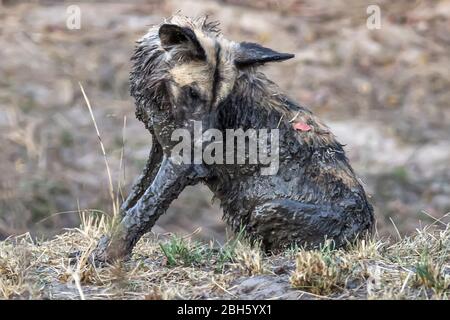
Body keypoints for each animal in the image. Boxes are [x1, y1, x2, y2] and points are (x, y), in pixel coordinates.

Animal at [93, 15, 374, 262]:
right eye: (192, 93)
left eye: (220, 102)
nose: (205, 144)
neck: (158, 94)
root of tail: (364, 231)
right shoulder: (160, 148)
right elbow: (131, 202)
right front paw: (104, 246)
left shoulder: (181, 163)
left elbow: (141, 212)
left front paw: (107, 256)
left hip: (264, 209)